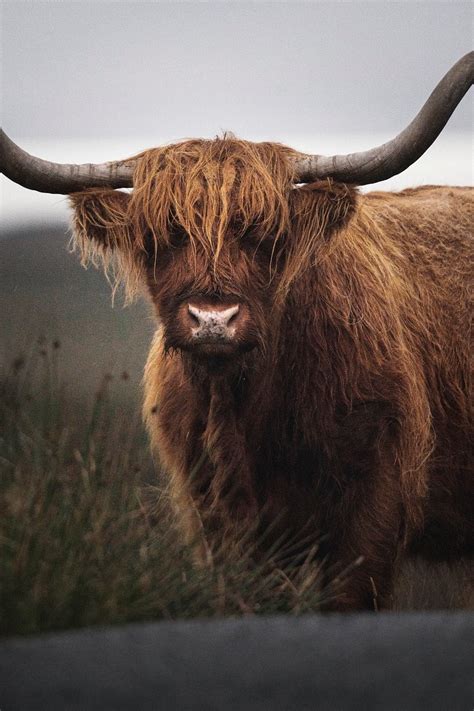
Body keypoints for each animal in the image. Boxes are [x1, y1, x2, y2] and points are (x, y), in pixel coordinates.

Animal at [1, 52, 472, 608]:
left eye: (263, 234)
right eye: (165, 236)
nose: (213, 320)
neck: (245, 409)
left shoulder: (376, 505)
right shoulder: (216, 519)